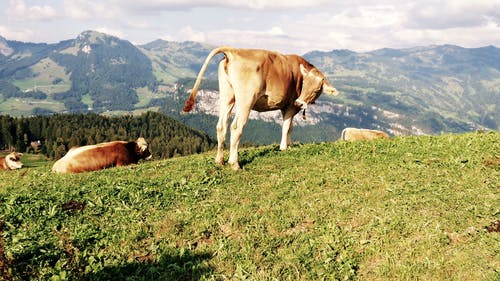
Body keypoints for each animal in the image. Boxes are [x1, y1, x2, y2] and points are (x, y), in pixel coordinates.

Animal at [184, 46, 340, 168]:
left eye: (315, 89)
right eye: (304, 84)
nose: (300, 103)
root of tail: (234, 51)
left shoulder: (288, 107)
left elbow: (290, 127)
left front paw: (289, 144)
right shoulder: (290, 106)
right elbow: (286, 127)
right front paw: (284, 147)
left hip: (226, 96)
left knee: (221, 126)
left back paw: (219, 161)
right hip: (246, 99)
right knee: (236, 127)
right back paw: (234, 163)